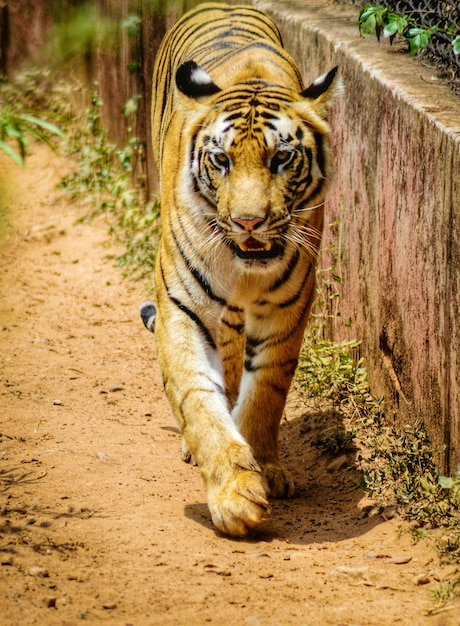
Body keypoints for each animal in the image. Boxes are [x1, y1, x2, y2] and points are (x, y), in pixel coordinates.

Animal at [144, 1, 338, 536]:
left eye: (282, 158)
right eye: (221, 160)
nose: (248, 221)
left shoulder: (288, 308)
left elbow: (266, 392)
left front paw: (265, 469)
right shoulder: (182, 308)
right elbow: (197, 397)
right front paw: (233, 495)